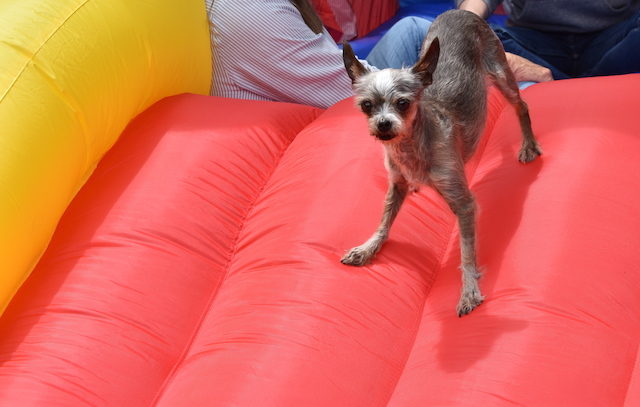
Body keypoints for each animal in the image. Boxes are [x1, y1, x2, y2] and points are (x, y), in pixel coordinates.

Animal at [340, 7, 540, 318]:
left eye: (404, 103)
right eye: (366, 106)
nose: (383, 124)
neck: (410, 148)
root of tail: (461, 11)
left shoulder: (464, 203)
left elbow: (467, 252)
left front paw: (469, 290)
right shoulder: (396, 184)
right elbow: (384, 221)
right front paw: (367, 248)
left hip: (501, 75)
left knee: (521, 106)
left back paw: (528, 144)